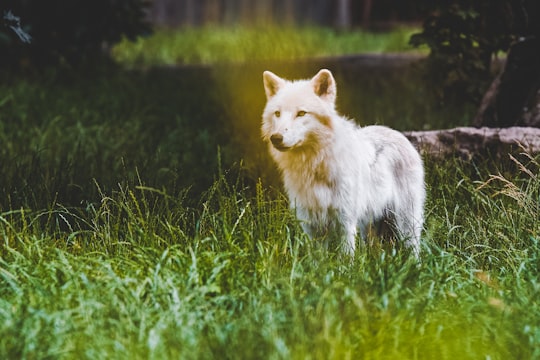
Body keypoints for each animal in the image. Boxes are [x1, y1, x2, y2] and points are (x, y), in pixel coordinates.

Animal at [262, 69, 426, 258]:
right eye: (277, 113)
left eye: (301, 113)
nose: (276, 138)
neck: (315, 165)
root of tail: (396, 133)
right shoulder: (311, 225)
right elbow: (317, 260)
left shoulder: (345, 222)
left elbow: (346, 258)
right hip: (369, 226)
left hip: (406, 222)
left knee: (414, 248)